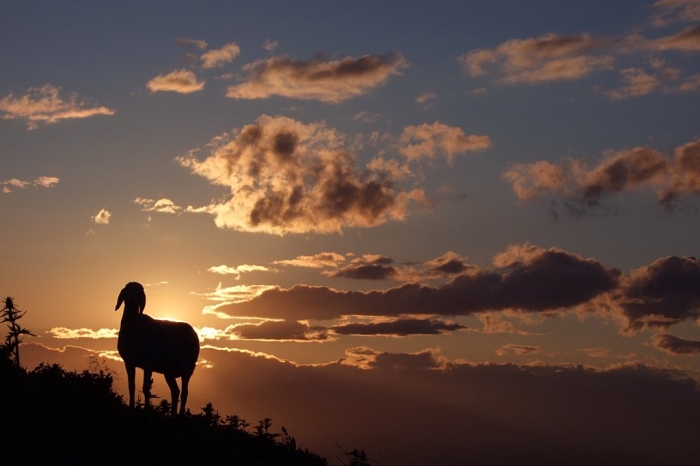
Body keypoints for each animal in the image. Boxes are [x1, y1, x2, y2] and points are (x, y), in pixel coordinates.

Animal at [113, 280, 198, 416]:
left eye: (139, 292)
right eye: (127, 290)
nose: (132, 300)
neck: (133, 324)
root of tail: (194, 333)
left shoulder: (148, 364)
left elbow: (145, 388)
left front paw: (147, 409)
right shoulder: (129, 362)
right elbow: (131, 386)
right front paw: (131, 408)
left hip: (187, 368)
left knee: (185, 393)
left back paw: (180, 415)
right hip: (169, 372)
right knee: (175, 391)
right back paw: (173, 415)